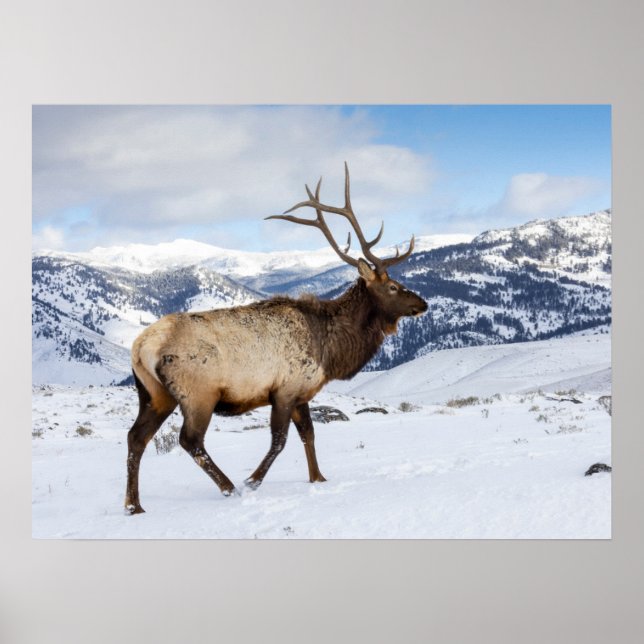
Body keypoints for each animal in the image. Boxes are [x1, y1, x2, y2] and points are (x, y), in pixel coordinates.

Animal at [125, 163, 428, 514]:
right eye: (393, 286)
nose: (423, 303)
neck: (331, 350)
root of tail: (141, 346)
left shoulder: (301, 392)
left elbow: (309, 434)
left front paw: (318, 478)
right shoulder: (284, 389)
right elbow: (280, 441)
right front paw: (252, 481)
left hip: (154, 393)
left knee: (136, 437)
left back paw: (133, 505)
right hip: (197, 393)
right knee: (190, 440)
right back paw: (229, 487)